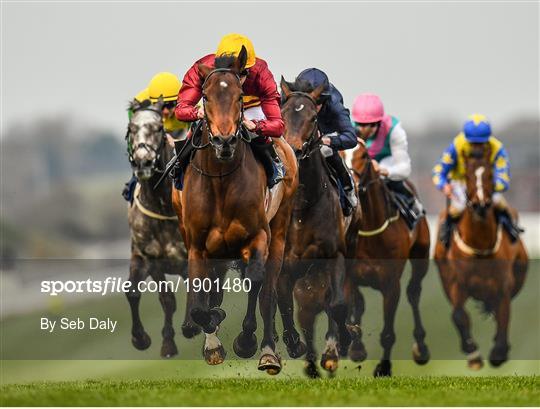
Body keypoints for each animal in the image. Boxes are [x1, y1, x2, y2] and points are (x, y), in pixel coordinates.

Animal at [171, 47, 298, 372]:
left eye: (240, 95)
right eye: (204, 96)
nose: (225, 140)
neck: (221, 179)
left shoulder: (258, 236)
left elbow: (257, 284)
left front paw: (248, 340)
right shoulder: (198, 244)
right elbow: (201, 300)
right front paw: (210, 336)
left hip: (279, 231)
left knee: (267, 290)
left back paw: (265, 349)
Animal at [276, 78, 352, 378]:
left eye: (312, 118)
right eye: (283, 115)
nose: (294, 151)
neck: (303, 205)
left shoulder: (334, 256)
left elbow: (338, 305)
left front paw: (337, 348)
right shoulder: (287, 267)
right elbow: (285, 306)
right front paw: (293, 345)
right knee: (305, 316)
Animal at [346, 141, 430, 376]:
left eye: (364, 156)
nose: (352, 184)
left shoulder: (391, 284)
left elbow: (388, 334)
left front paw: (383, 368)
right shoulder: (350, 276)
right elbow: (356, 306)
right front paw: (356, 348)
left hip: (421, 257)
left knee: (414, 292)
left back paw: (421, 348)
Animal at [432, 142, 528, 368]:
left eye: (491, 173)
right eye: (467, 174)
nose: (481, 204)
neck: (480, 246)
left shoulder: (503, 286)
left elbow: (503, 314)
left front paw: (499, 351)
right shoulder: (457, 284)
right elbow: (458, 314)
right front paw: (473, 354)